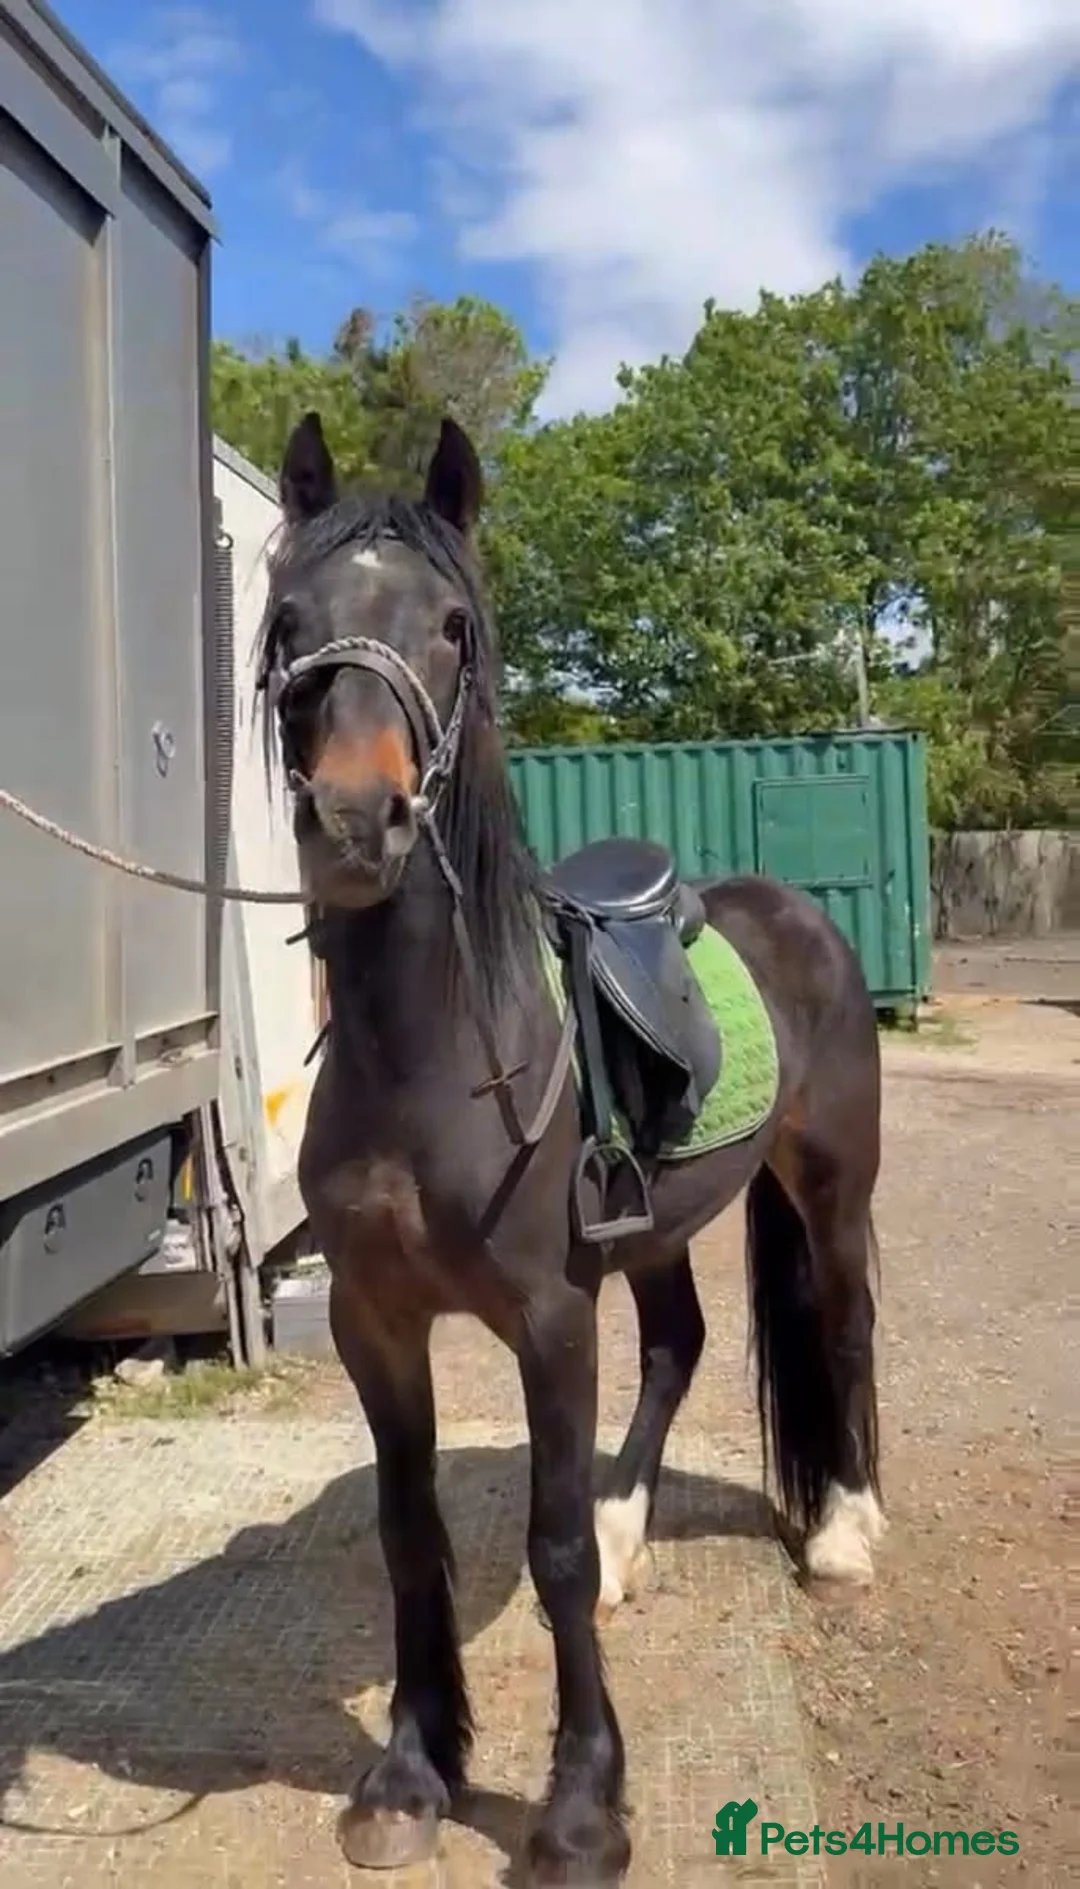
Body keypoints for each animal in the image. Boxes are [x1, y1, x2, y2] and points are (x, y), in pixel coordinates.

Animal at [257, 410, 884, 1886]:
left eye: (450, 625)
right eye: (291, 618)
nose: (355, 823)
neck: (428, 1052)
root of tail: (798, 911)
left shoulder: (547, 1315)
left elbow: (541, 1551)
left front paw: (582, 1808)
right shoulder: (376, 1320)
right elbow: (410, 1529)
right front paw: (412, 1772)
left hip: (830, 1185)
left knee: (842, 1325)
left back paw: (843, 1529)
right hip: (654, 1230)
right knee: (678, 1345)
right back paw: (628, 1525)